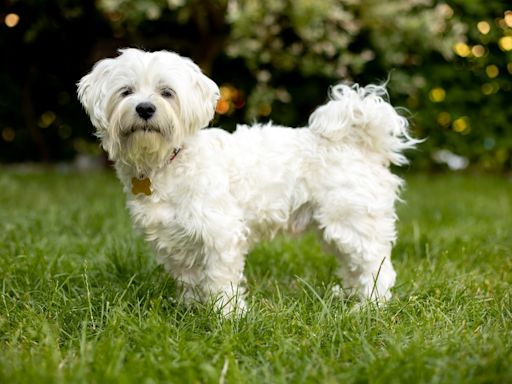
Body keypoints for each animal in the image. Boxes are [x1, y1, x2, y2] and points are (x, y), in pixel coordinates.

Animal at [78, 48, 418, 316]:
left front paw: (226, 315)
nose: (145, 108)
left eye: (167, 93)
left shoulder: (219, 233)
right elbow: (189, 279)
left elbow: (219, 279)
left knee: (377, 268)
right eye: (126, 92)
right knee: (354, 267)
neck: (166, 161)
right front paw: (190, 309)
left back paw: (369, 306)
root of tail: (360, 143)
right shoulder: (175, 239)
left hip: (351, 221)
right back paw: (348, 297)